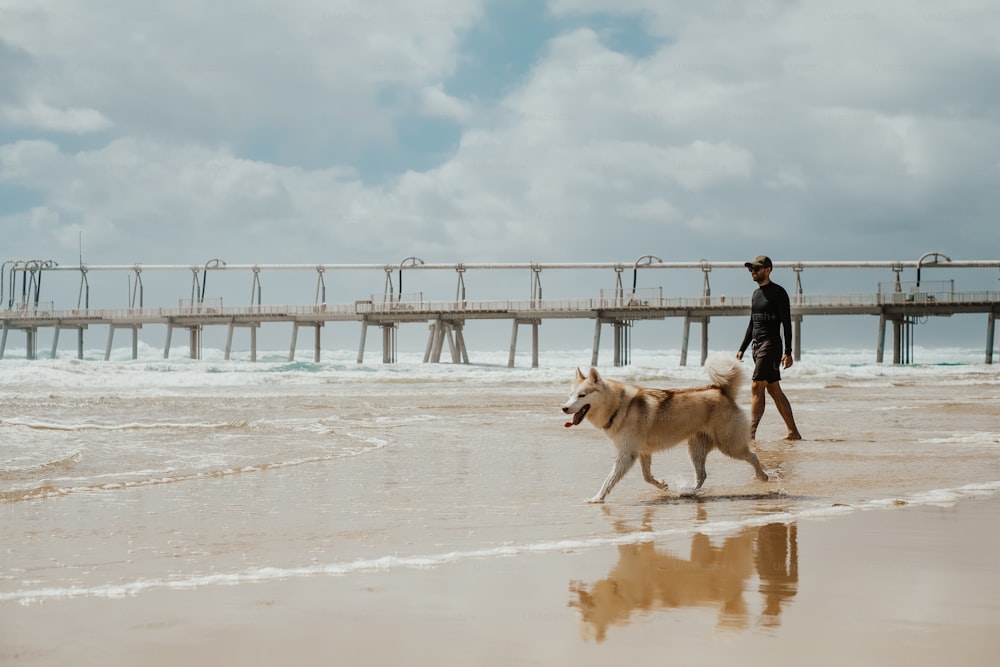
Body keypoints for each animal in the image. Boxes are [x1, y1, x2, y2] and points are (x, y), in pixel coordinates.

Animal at [564, 354, 764, 500]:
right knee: (702, 474)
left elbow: (609, 480)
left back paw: (763, 476)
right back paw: (690, 491)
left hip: (729, 445)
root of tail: (721, 390)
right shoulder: (642, 452)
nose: (564, 408)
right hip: (696, 448)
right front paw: (661, 484)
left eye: (582, 395)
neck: (619, 406)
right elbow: (646, 477)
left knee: (752, 456)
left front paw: (597, 498)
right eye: (571, 395)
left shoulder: (627, 454)